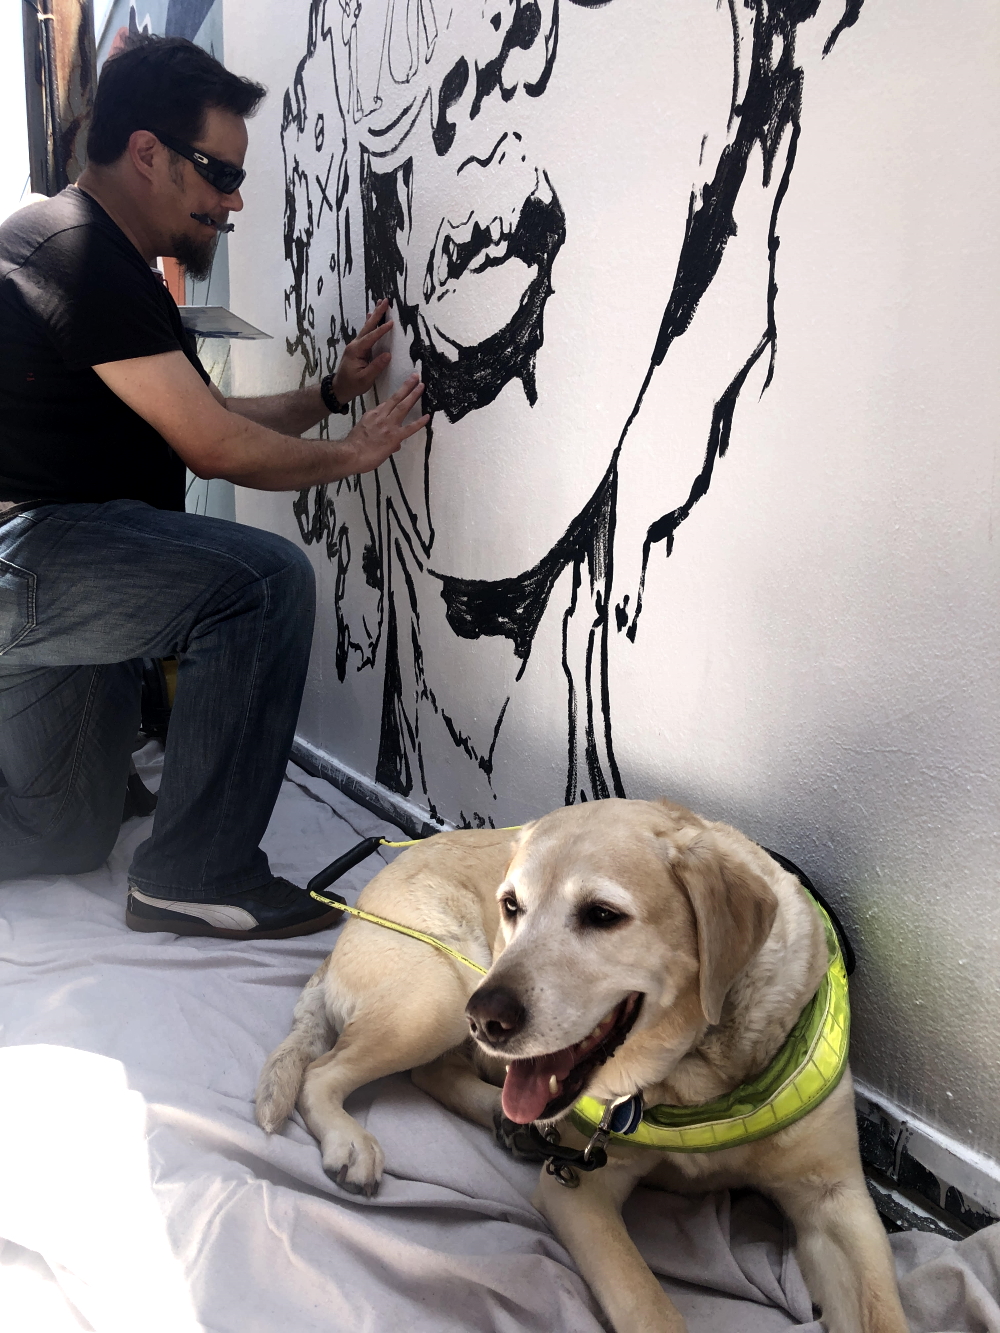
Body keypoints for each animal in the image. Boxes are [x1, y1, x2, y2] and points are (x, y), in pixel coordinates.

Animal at [256, 799, 906, 1333]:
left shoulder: (835, 1198)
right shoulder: (580, 1194)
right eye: (511, 906)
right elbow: (650, 1307)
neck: (697, 1077)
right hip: (439, 994)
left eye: (602, 915)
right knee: (328, 1072)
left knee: (436, 1072)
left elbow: (883, 1311)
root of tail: (355, 914)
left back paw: (510, 1122)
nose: (486, 1018)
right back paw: (353, 1140)